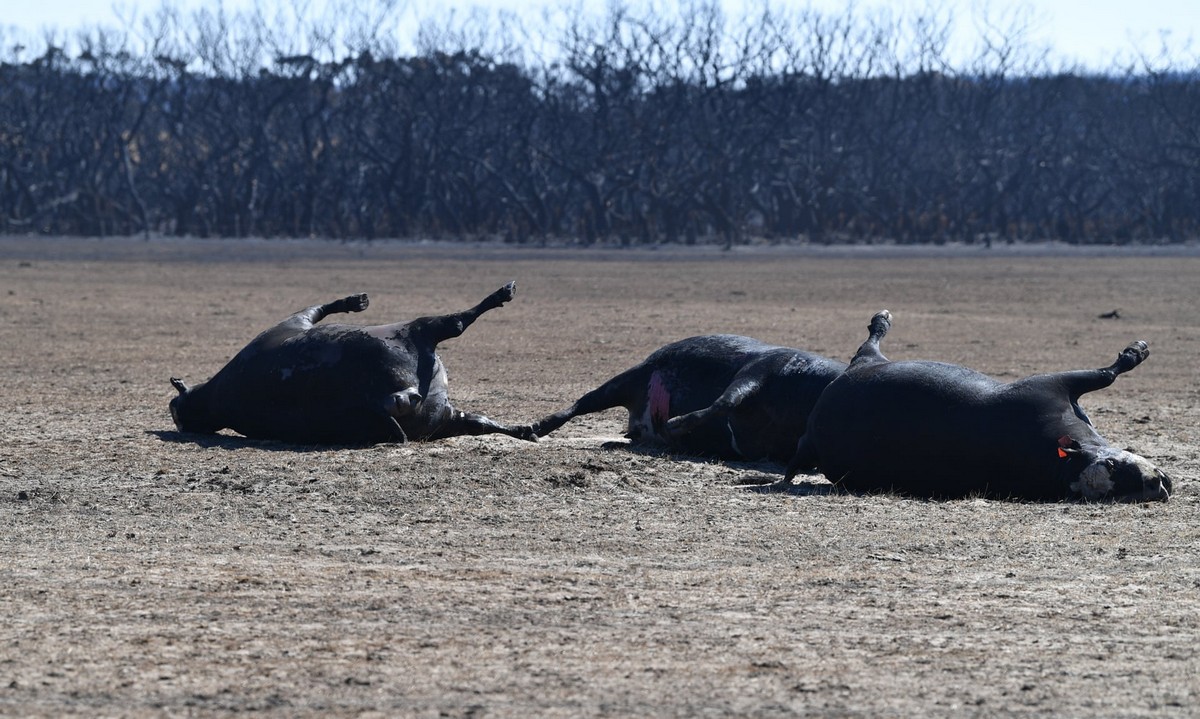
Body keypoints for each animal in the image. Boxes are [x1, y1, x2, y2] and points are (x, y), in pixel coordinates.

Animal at [169, 285, 535, 444]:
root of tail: (376, 398)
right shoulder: (294, 321)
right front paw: (353, 301)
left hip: (445, 417)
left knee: (486, 423)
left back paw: (536, 426)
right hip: (421, 332)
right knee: (457, 323)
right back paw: (501, 294)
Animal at [530, 333, 849, 463]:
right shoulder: (759, 369)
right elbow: (725, 400)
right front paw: (676, 423)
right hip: (628, 378)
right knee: (582, 403)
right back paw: (531, 429)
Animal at [787, 312, 1171, 504]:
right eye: (1111, 466)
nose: (1155, 486)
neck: (1057, 462)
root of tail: (812, 435)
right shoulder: (1052, 386)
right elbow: (1111, 371)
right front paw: (1137, 350)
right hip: (867, 359)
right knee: (870, 340)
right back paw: (881, 318)